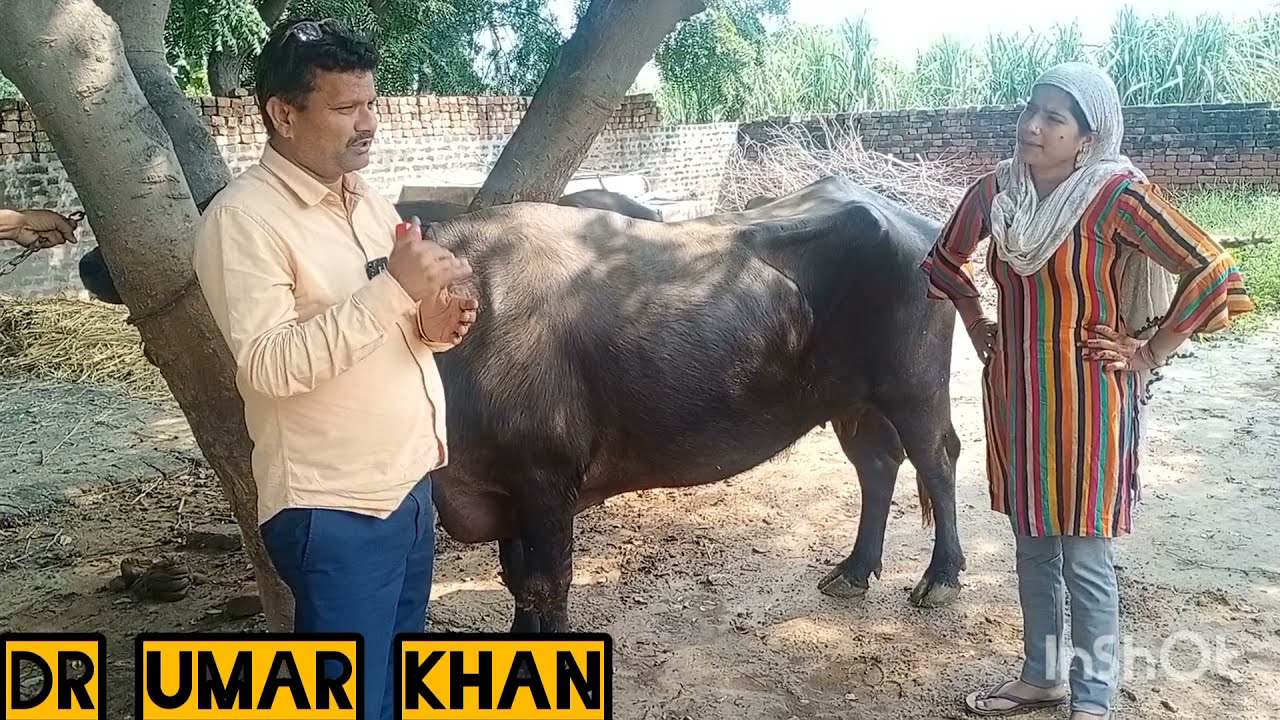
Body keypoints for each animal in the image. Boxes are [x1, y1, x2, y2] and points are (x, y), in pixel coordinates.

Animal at [75, 176, 964, 633]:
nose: (90, 261)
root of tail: (911, 216)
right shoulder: (502, 488)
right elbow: (516, 584)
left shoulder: (546, 480)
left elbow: (547, 584)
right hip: (850, 400)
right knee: (878, 465)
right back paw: (854, 570)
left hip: (913, 386)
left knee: (938, 461)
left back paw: (941, 579)